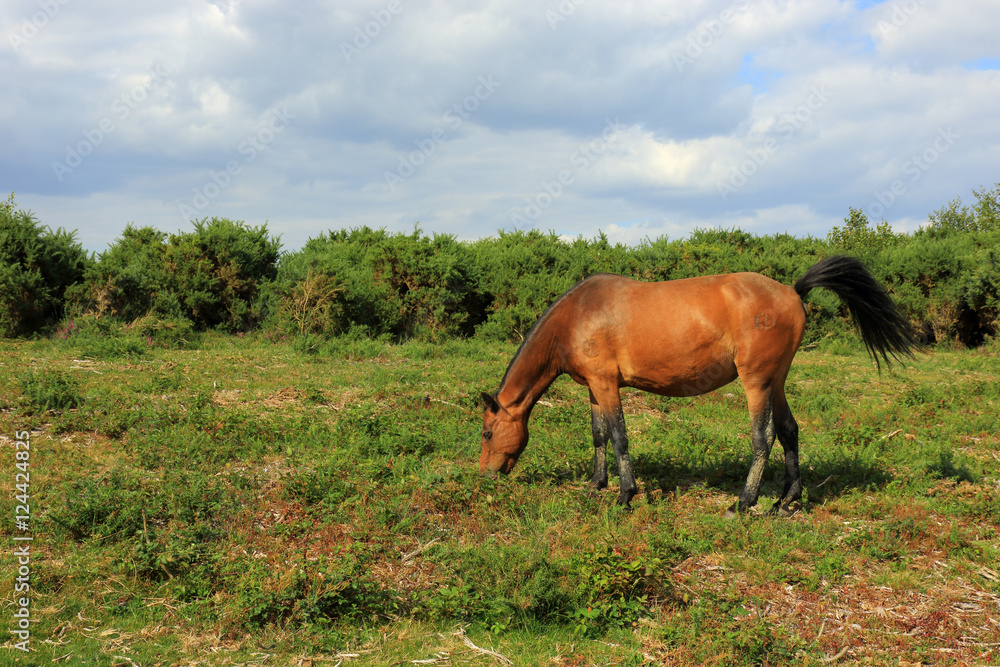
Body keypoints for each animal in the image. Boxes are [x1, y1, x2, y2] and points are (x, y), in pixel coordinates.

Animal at [480, 256, 916, 516]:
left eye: (486, 433)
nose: (484, 476)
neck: (578, 315)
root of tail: (792, 291)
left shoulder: (606, 385)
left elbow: (619, 437)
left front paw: (625, 494)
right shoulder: (594, 387)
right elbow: (599, 436)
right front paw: (595, 485)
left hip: (756, 382)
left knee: (764, 437)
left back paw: (744, 502)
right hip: (776, 381)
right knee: (789, 430)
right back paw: (787, 500)